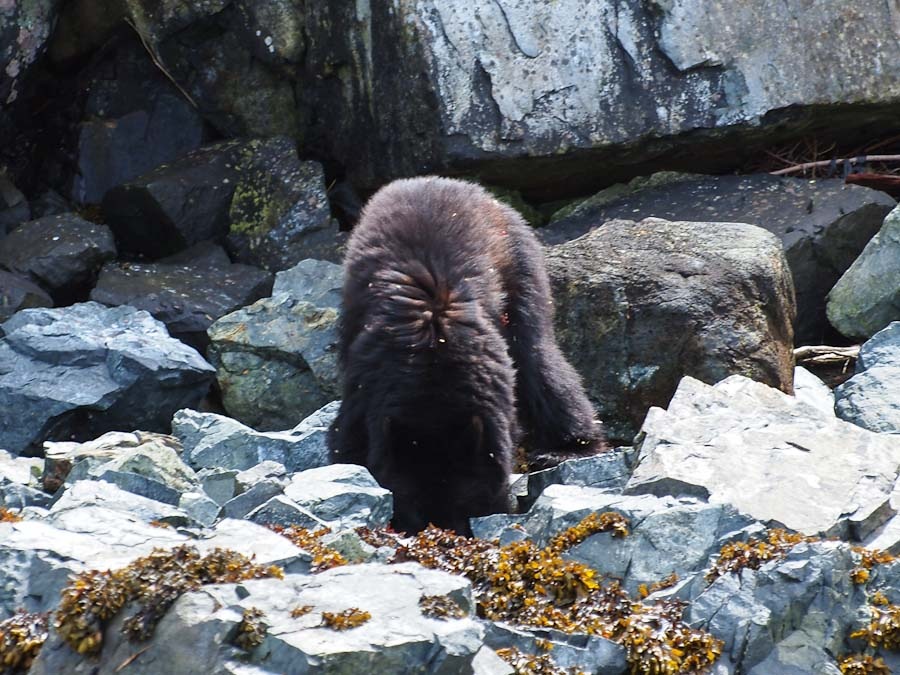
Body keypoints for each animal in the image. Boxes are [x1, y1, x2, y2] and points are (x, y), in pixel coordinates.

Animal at [326, 177, 608, 536]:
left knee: (538, 357)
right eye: (413, 504)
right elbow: (347, 441)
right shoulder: (367, 379)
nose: (447, 530)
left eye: (465, 503)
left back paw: (568, 448)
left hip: (520, 266)